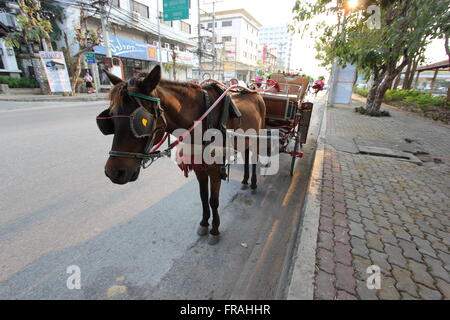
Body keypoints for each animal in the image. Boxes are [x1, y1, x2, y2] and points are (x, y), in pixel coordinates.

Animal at [100, 65, 266, 245]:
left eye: (141, 121)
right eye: (110, 118)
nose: (113, 172)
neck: (203, 120)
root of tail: (255, 91)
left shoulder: (215, 170)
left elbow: (213, 201)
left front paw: (214, 230)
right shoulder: (199, 168)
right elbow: (203, 197)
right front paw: (204, 223)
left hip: (257, 137)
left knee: (254, 159)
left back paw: (253, 184)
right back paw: (245, 180)